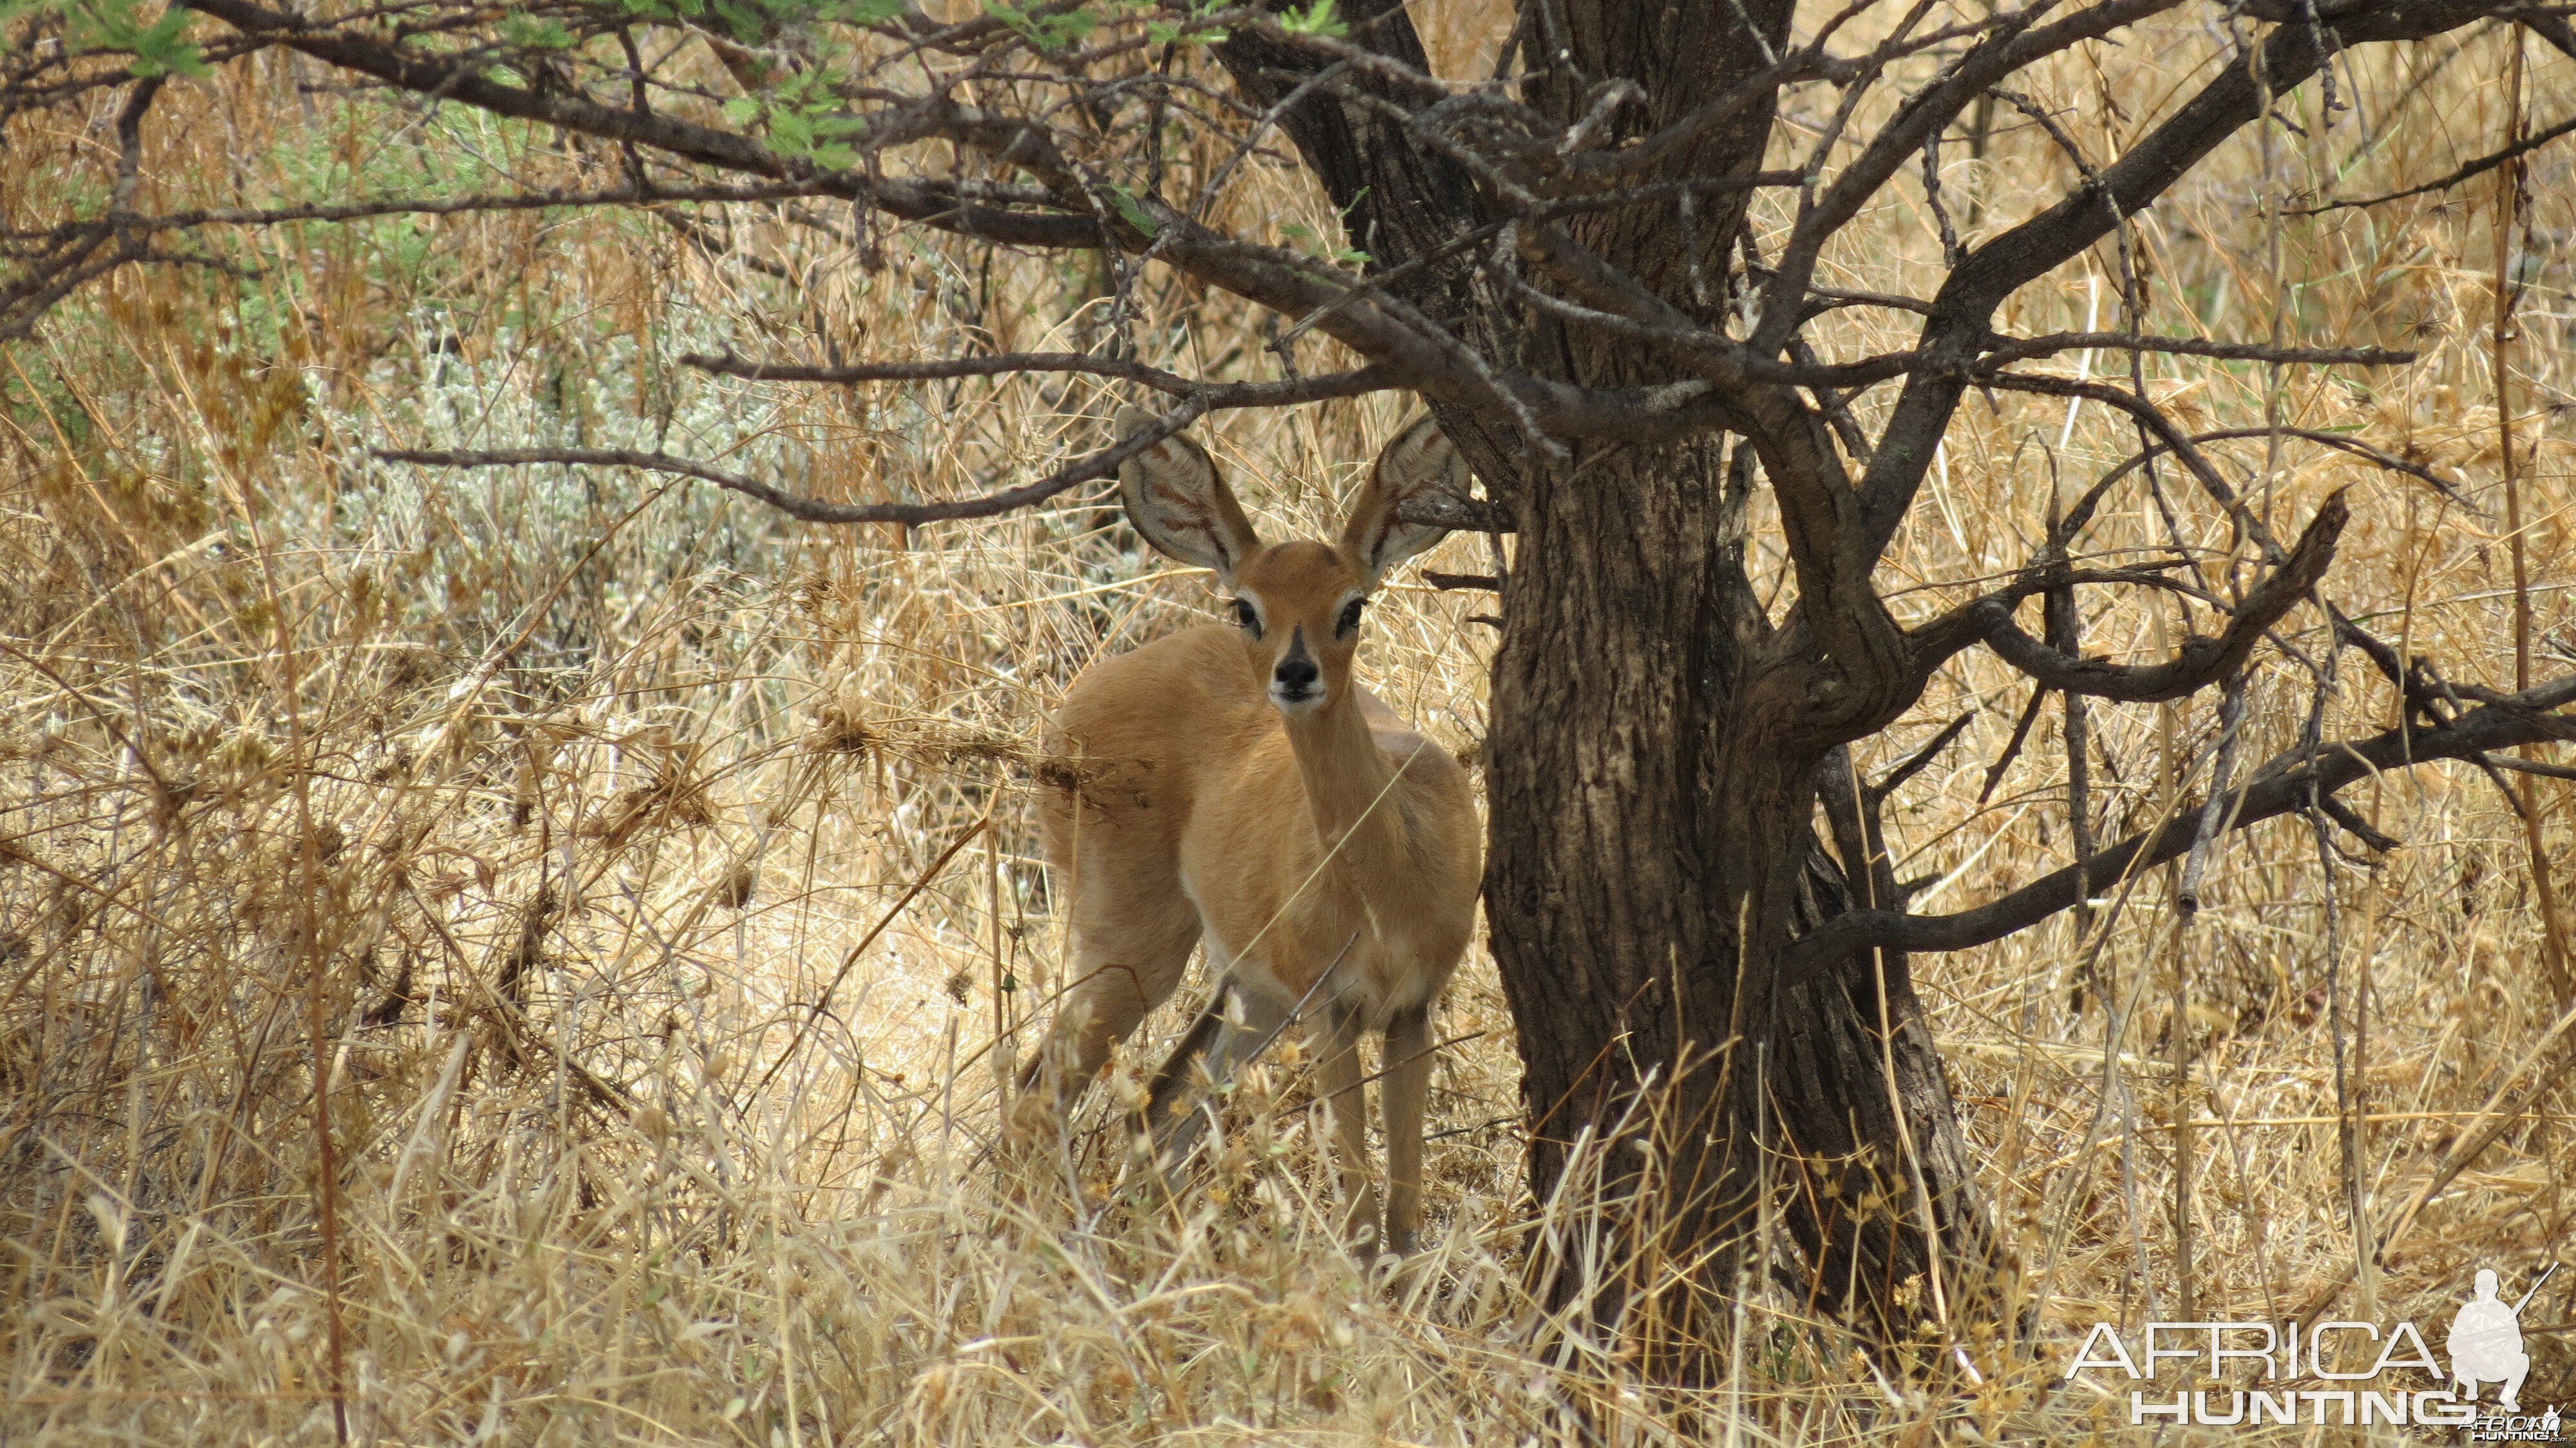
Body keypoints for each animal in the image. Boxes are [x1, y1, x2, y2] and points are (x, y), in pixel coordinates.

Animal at [1015, 410, 1484, 1252]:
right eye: (1248, 607)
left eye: (1351, 605)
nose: (1295, 674)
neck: (1386, 883)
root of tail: (1073, 705)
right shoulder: (1334, 1008)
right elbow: (1360, 1213)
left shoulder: (1410, 1008)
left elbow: (1401, 1216)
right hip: (1133, 951)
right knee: (1041, 1094)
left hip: (1251, 993)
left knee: (1158, 1112)